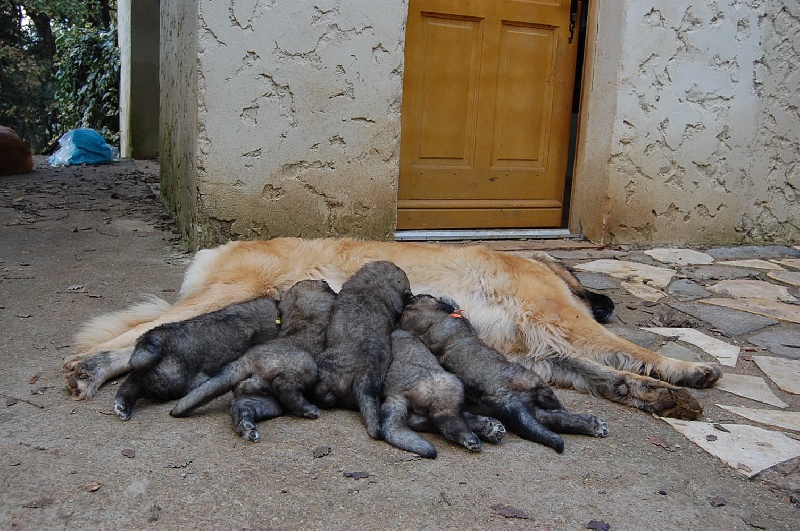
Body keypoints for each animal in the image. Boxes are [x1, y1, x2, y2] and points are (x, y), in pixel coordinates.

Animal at [172, 280, 338, 442]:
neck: (301, 320)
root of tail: (245, 361)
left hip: (266, 397)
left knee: (240, 403)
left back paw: (247, 427)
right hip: (305, 366)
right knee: (283, 386)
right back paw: (307, 409)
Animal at [382, 330, 506, 460]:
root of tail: (395, 394)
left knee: (422, 422)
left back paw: (490, 428)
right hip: (450, 388)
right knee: (446, 420)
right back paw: (473, 438)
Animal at [396, 296, 608, 454]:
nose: (413, 295)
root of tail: (505, 397)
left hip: (528, 406)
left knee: (551, 418)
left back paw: (591, 424)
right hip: (533, 384)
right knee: (554, 409)